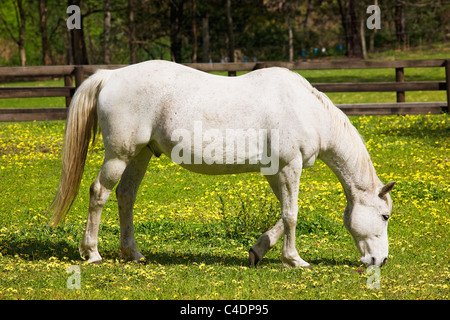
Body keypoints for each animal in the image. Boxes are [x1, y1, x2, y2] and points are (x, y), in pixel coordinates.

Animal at [48, 60, 394, 268]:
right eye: (385, 216)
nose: (380, 261)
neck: (305, 109)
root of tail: (110, 76)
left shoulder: (275, 171)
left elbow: (284, 214)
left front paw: (258, 250)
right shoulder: (288, 166)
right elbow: (291, 215)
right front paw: (294, 260)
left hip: (141, 154)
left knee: (125, 196)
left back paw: (133, 253)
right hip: (119, 155)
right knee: (99, 193)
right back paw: (92, 253)